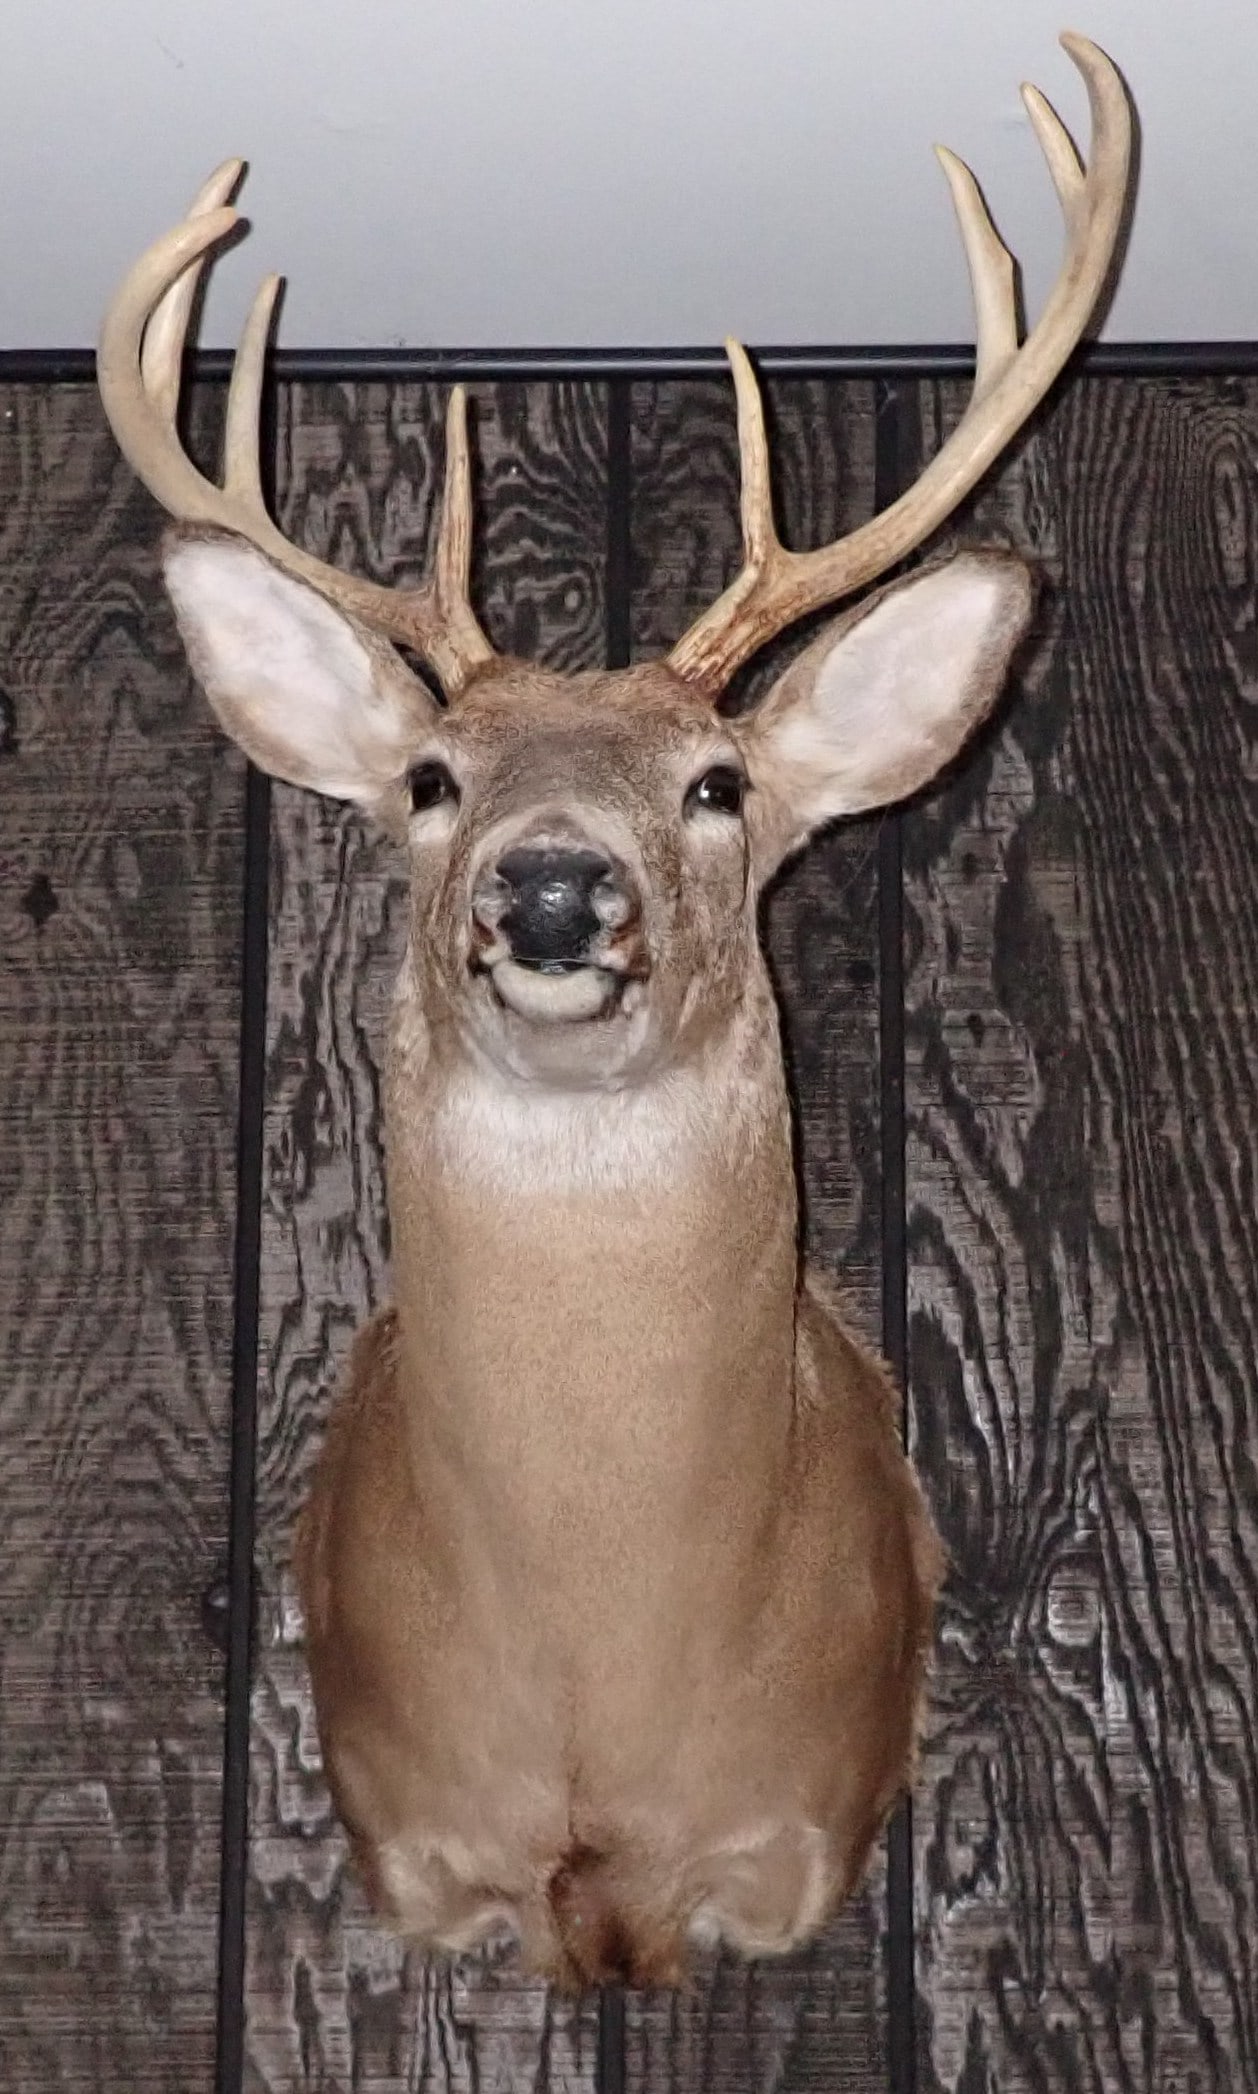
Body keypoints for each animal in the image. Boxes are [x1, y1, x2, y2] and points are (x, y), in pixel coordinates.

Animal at [96, 32, 1130, 1988]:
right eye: (428, 778)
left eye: (719, 782)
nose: (555, 884)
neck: (600, 1678)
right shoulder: (409, 1829)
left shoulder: (800, 1826)